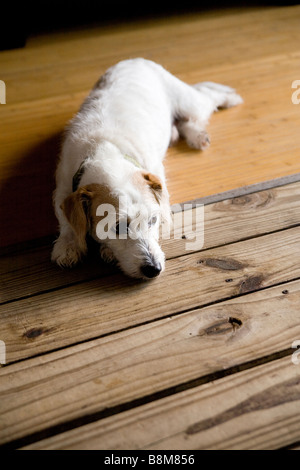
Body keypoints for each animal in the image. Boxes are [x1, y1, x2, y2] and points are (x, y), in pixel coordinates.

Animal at [51, 58, 243, 280]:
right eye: (118, 227)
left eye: (153, 220)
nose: (154, 269)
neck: (105, 149)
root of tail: (134, 60)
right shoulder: (63, 186)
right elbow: (65, 220)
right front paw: (68, 245)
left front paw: (106, 250)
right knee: (184, 122)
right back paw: (192, 134)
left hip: (188, 102)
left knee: (207, 98)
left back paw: (228, 101)